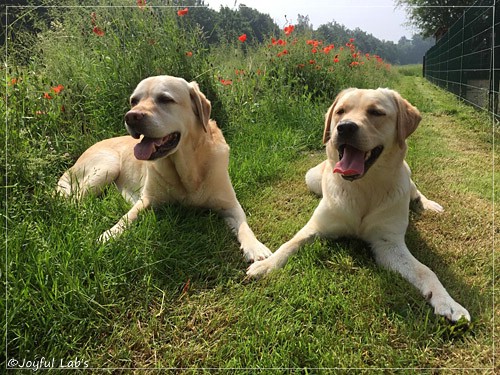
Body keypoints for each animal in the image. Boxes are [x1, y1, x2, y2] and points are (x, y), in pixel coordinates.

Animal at [57, 75, 272, 262]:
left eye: (165, 99)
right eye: (134, 101)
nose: (131, 117)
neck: (186, 169)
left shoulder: (229, 204)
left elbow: (244, 225)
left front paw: (255, 248)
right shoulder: (146, 200)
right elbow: (127, 217)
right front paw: (108, 235)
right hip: (107, 167)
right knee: (74, 200)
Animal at [248, 88, 470, 324]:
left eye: (376, 112)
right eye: (340, 111)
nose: (344, 127)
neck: (364, 187)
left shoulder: (388, 243)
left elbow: (426, 271)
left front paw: (448, 303)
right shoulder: (316, 227)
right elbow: (290, 243)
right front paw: (266, 264)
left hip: (407, 173)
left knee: (414, 189)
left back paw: (426, 204)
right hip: (311, 178)